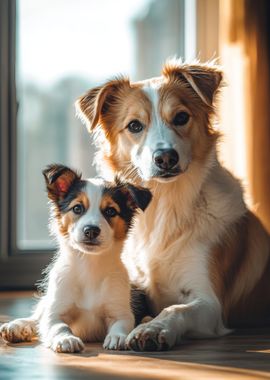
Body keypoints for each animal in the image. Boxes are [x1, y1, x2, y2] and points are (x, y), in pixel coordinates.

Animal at [0, 165, 152, 352]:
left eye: (111, 211)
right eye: (77, 208)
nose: (91, 230)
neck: (89, 265)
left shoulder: (120, 311)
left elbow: (122, 324)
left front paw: (118, 337)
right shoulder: (56, 311)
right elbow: (58, 325)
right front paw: (66, 339)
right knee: (38, 316)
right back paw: (17, 326)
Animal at [75, 58, 270, 352]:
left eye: (181, 117)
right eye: (134, 125)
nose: (166, 157)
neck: (164, 207)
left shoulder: (210, 303)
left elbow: (176, 308)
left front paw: (153, 329)